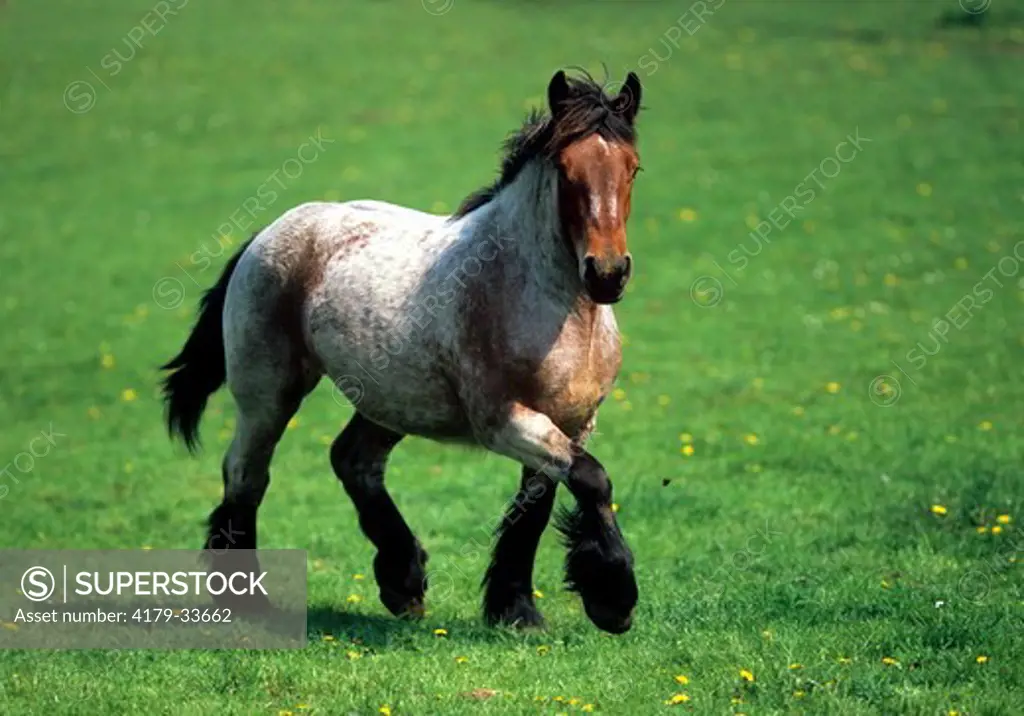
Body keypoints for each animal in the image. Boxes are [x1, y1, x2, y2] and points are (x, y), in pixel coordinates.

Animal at [157, 68, 638, 630]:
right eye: (565, 170)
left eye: (633, 168)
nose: (607, 273)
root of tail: (269, 233)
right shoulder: (503, 421)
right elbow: (593, 480)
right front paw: (612, 599)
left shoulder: (573, 421)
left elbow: (537, 507)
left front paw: (516, 608)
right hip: (269, 394)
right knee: (245, 475)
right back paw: (247, 601)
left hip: (393, 400)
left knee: (353, 461)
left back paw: (403, 582)